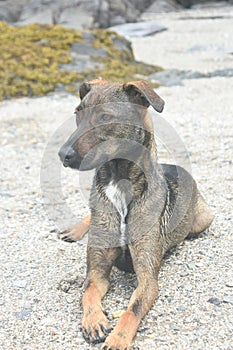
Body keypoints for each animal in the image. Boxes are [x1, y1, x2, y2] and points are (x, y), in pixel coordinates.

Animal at [58, 78, 213, 348]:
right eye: (78, 113)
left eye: (105, 117)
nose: (62, 155)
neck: (119, 181)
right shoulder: (97, 272)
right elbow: (88, 292)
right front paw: (93, 320)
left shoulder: (148, 278)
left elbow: (133, 309)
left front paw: (118, 338)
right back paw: (76, 229)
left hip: (204, 219)